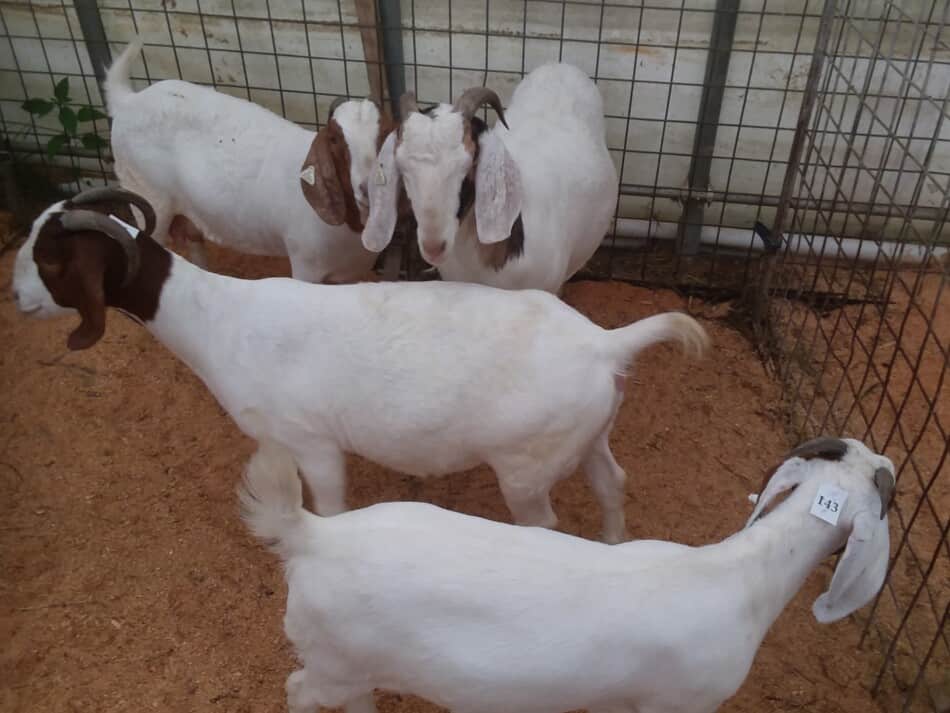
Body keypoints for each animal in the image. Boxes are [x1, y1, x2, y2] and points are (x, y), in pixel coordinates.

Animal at [11, 186, 712, 544]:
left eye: (51, 262)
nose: (17, 299)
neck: (220, 318)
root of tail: (605, 344)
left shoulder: (310, 441)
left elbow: (329, 508)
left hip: (527, 464)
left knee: (544, 523)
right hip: (587, 435)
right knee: (611, 483)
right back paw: (616, 544)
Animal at [102, 36, 388, 280]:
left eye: (386, 132)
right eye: (334, 138)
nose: (367, 187)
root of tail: (128, 100)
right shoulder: (306, 265)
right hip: (148, 198)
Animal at [242, 434, 896, 712]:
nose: (885, 460)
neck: (742, 574)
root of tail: (312, 534)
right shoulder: (680, 705)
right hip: (335, 661)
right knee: (298, 691)